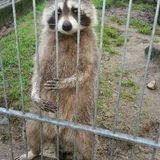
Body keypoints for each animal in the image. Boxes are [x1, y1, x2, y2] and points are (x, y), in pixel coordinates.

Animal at [17, 0, 98, 159]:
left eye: (75, 10)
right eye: (58, 12)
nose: (66, 26)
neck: (69, 35)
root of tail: (58, 134)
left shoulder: (90, 44)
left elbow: (86, 72)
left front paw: (64, 83)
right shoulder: (45, 43)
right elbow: (39, 69)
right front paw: (34, 93)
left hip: (83, 124)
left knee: (87, 143)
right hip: (38, 118)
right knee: (32, 131)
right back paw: (33, 151)